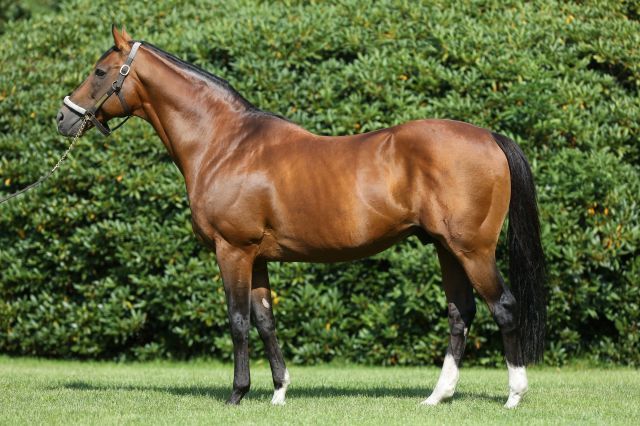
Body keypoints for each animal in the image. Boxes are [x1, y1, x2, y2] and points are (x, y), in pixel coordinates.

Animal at [56, 27, 544, 410]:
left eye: (99, 72)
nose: (63, 117)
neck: (224, 143)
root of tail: (489, 137)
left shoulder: (232, 250)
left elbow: (237, 320)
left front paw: (237, 394)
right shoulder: (257, 257)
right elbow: (265, 319)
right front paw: (278, 392)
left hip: (472, 249)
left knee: (503, 306)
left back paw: (514, 395)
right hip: (445, 248)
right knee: (460, 313)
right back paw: (437, 396)